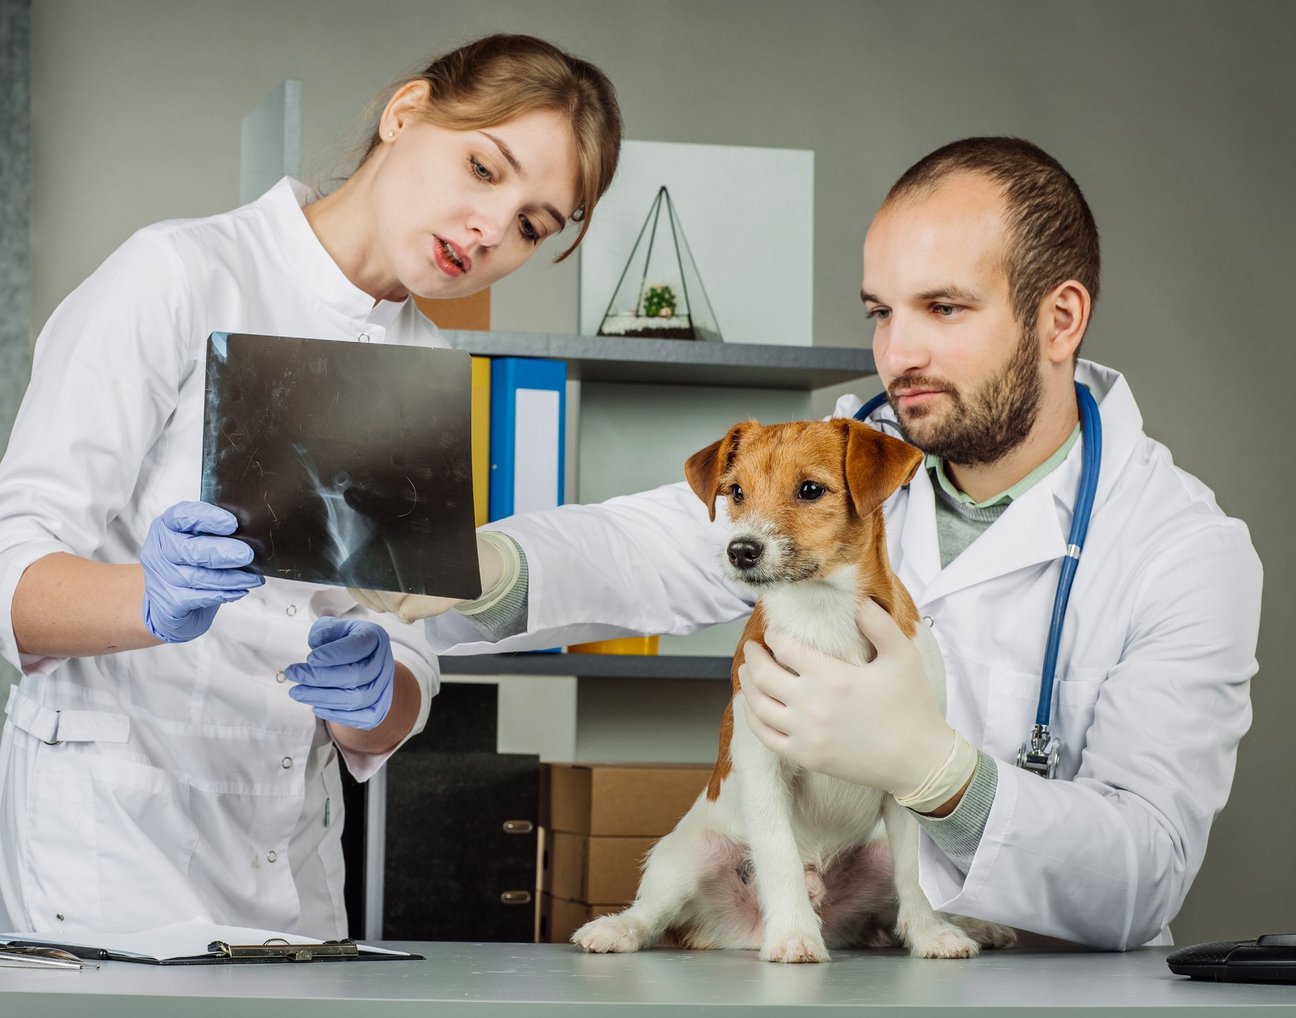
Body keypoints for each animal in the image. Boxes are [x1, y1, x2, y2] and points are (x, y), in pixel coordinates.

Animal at [575, 414, 1010, 959]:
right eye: (736, 492)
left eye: (810, 489)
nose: (741, 550)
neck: (821, 614)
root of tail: (734, 934)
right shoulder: (762, 763)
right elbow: (778, 854)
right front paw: (793, 936)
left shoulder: (908, 777)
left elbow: (915, 873)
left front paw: (931, 934)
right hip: (684, 854)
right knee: (654, 912)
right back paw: (618, 929)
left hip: (878, 853)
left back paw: (967, 924)